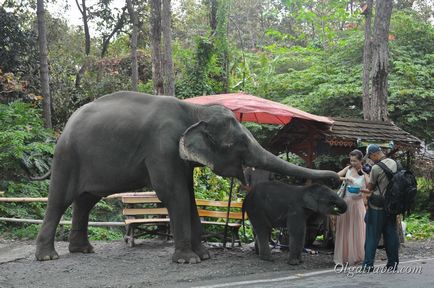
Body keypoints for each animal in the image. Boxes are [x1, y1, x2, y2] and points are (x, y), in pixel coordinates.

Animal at [34, 91, 340, 264]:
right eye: (237, 144)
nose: (337, 179)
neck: (194, 112)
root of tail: (65, 127)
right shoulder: (162, 146)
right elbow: (172, 192)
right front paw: (188, 261)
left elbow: (189, 195)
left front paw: (203, 256)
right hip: (67, 157)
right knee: (59, 200)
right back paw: (48, 256)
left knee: (86, 200)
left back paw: (82, 250)